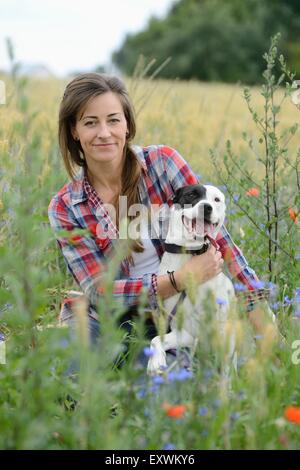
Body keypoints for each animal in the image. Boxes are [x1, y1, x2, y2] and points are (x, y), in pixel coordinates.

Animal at [148, 184, 237, 374]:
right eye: (190, 195)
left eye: (216, 199)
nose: (206, 207)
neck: (190, 251)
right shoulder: (185, 332)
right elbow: (156, 339)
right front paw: (156, 361)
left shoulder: (220, 331)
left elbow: (226, 368)